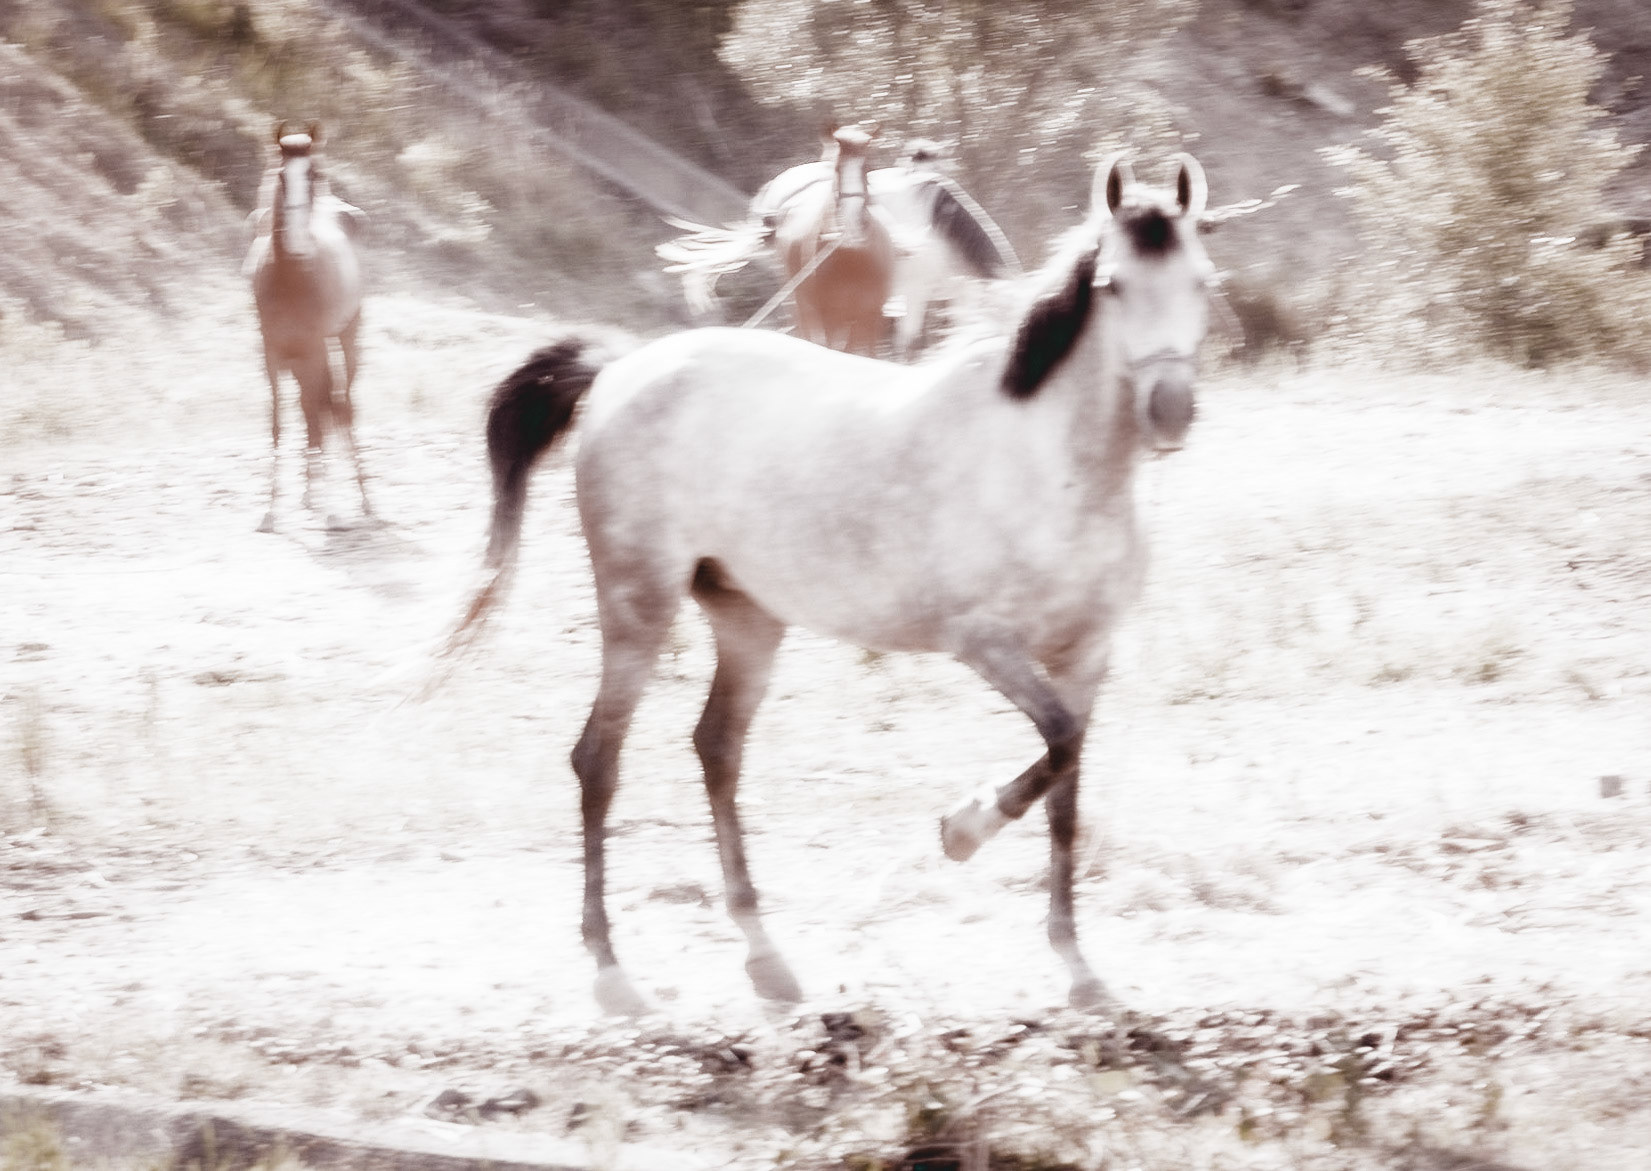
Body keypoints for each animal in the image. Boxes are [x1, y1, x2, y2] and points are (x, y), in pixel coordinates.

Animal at [244, 122, 371, 532]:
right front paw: (269, 513)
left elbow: (323, 414)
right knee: (314, 413)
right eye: (283, 176)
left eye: (313, 174)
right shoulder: (271, 355)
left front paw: (331, 512)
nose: (299, 243)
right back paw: (309, 497)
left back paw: (362, 501)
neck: (290, 277)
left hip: (345, 340)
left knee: (341, 407)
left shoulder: (315, 350)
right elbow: (279, 423)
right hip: (301, 359)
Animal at [461, 153, 1214, 1015]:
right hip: (637, 603)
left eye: (1201, 280)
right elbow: (1057, 745)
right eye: (1113, 286)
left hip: (747, 617)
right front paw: (960, 830)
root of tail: (620, 368)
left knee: (716, 748)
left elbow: (1067, 778)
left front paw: (1077, 964)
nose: (1169, 411)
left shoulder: (1086, 655)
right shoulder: (984, 643)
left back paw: (765, 958)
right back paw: (612, 971)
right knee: (598, 760)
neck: (1052, 466)